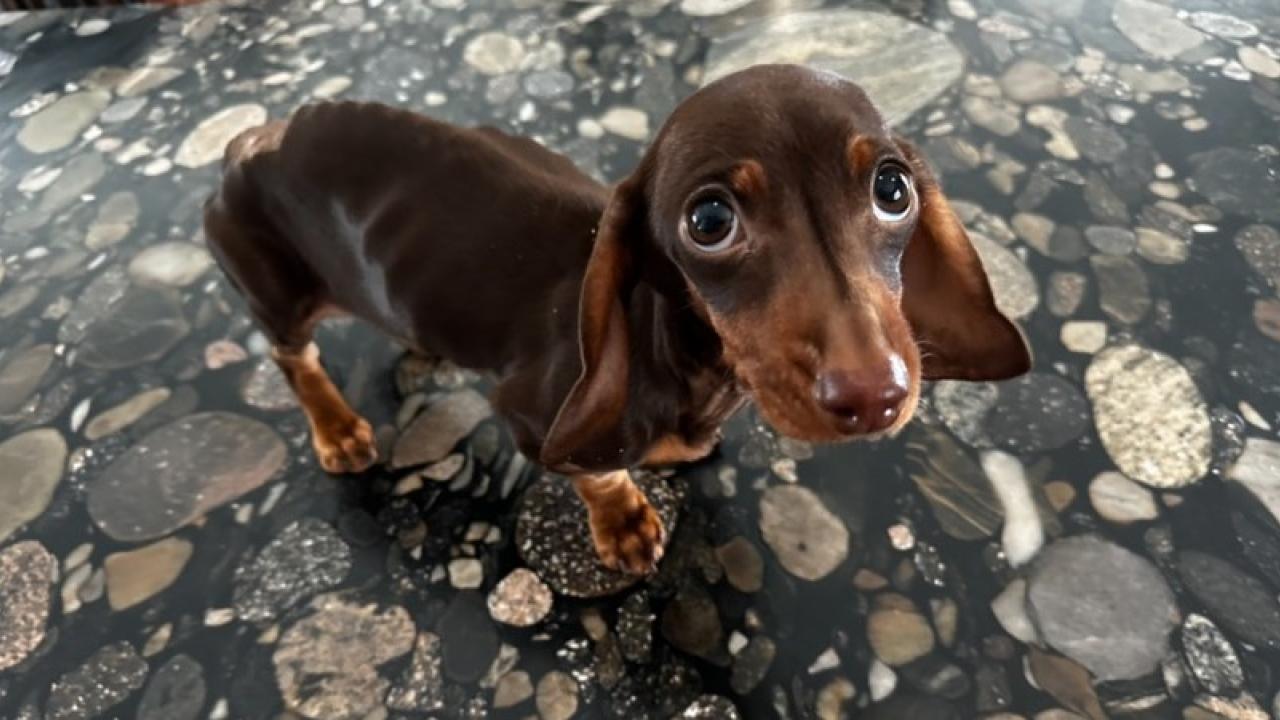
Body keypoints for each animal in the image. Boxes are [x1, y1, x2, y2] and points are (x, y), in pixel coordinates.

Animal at [207, 64, 1029, 573]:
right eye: (709, 221)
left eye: (893, 189)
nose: (874, 397)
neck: (690, 358)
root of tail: (250, 139)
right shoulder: (533, 416)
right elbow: (597, 471)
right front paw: (626, 521)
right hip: (273, 290)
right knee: (294, 359)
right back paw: (337, 428)